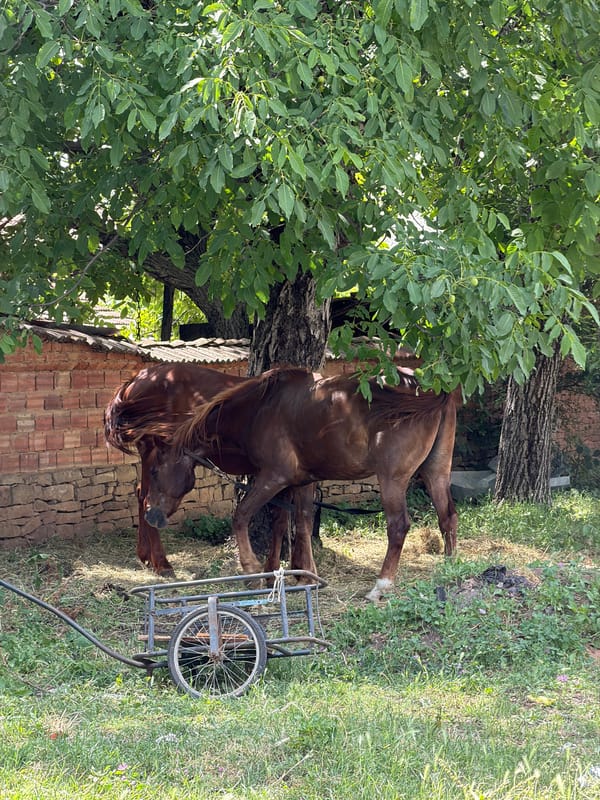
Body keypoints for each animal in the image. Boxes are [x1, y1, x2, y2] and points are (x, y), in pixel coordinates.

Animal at [104, 363, 316, 576]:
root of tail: (137, 379)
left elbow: (283, 521)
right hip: (153, 452)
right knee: (148, 499)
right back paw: (161, 563)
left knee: (142, 495)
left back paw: (145, 555)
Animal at [154, 367, 459, 601]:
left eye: (156, 471)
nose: (150, 515)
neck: (261, 409)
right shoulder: (301, 481)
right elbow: (298, 522)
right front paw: (304, 577)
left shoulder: (273, 477)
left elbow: (241, 515)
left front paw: (252, 570)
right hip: (436, 472)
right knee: (447, 516)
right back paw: (449, 566)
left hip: (391, 480)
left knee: (398, 526)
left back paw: (381, 586)